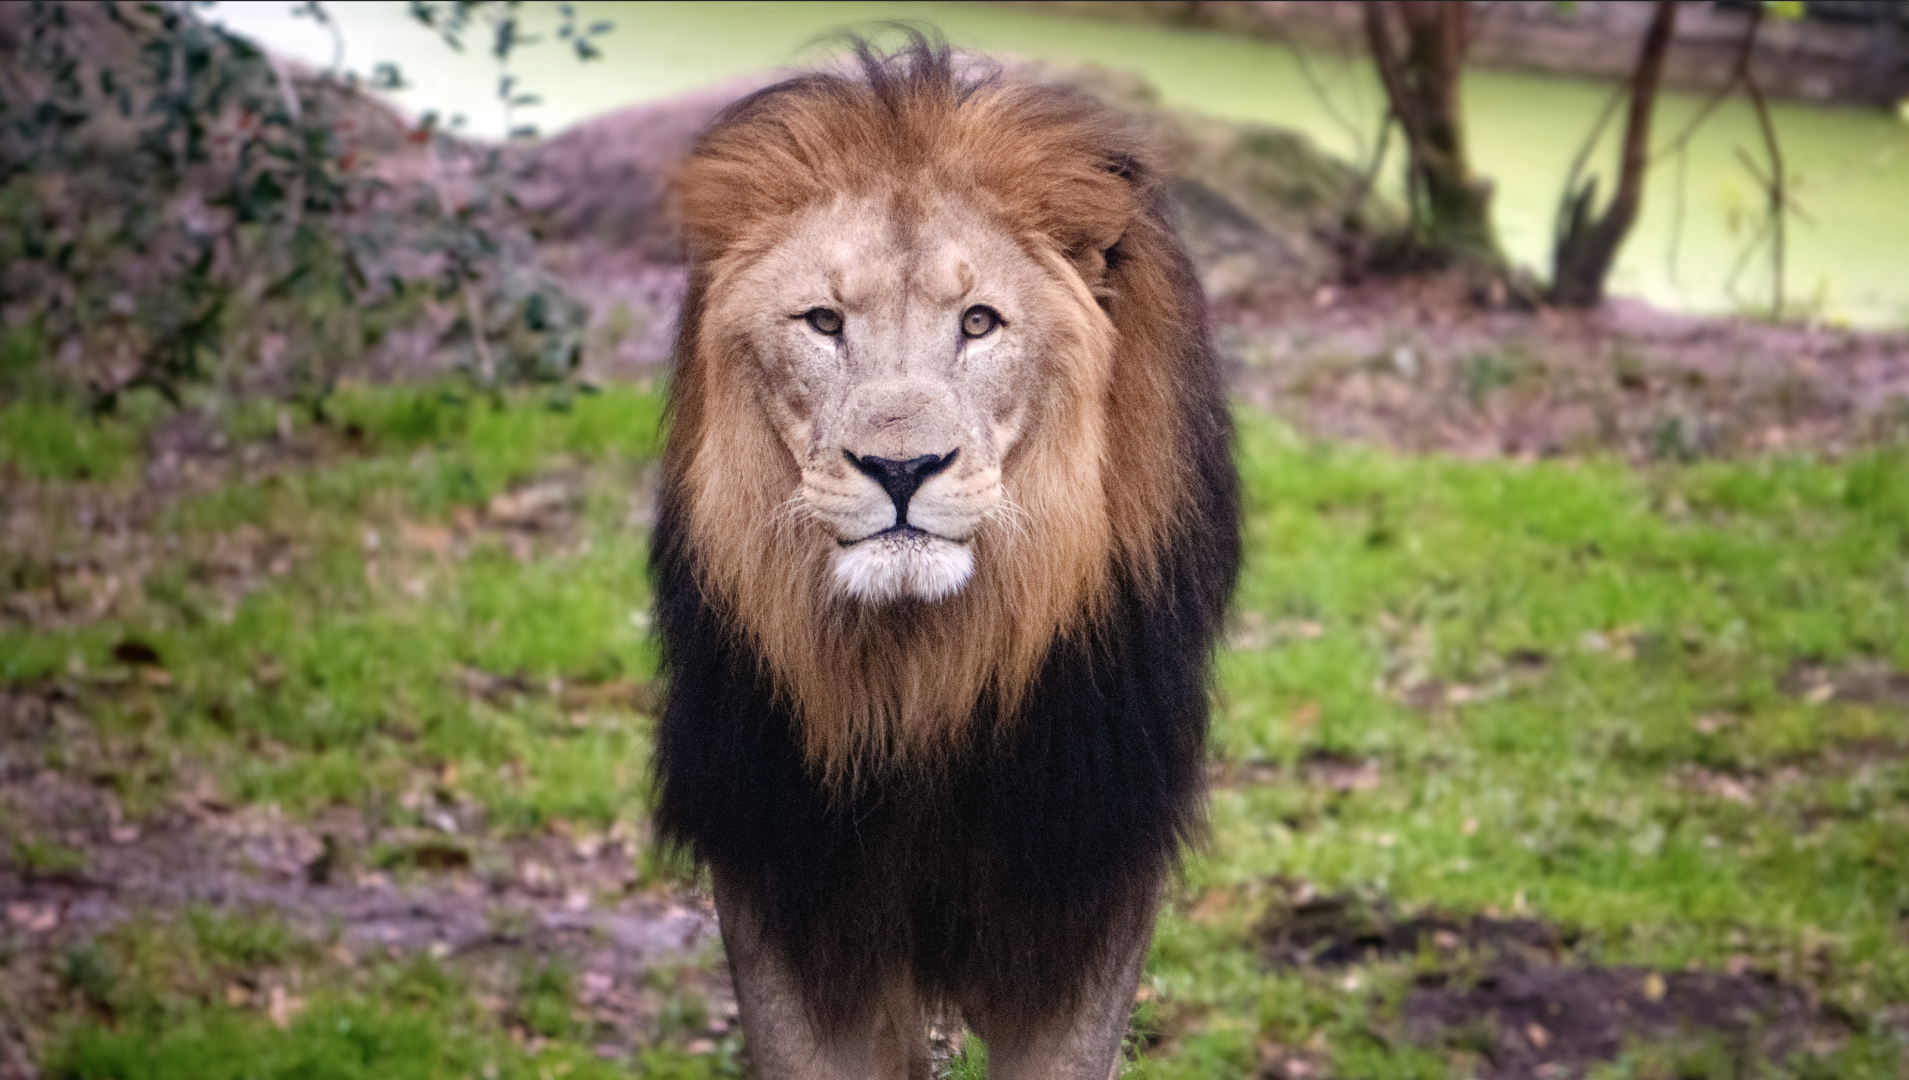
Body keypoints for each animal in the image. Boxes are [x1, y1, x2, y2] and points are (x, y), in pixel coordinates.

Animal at [650, 36, 1240, 1080]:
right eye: (823, 322)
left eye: (977, 322)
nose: (900, 468)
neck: (922, 677)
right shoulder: (781, 872)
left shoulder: (1091, 870)